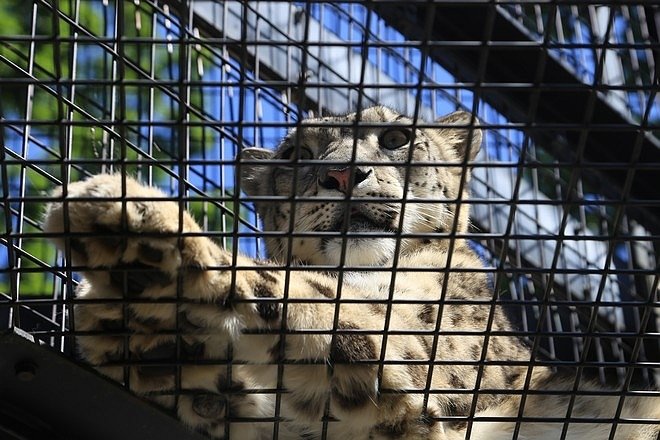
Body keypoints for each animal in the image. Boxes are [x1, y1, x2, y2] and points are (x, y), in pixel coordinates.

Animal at [43, 107, 656, 440]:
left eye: (396, 138)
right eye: (295, 156)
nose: (341, 174)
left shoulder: (421, 361)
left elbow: (301, 293)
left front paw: (128, 216)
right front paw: (132, 326)